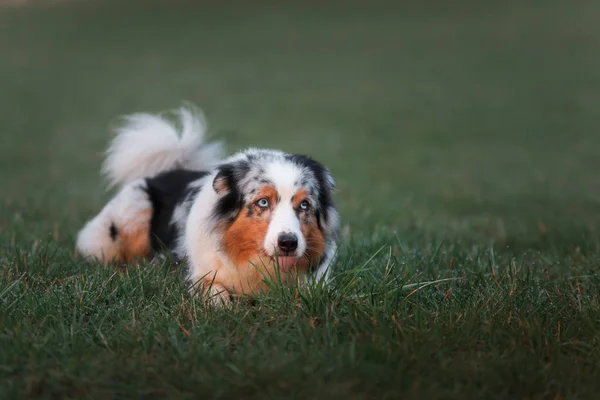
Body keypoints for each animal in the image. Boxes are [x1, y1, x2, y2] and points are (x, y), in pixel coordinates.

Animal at [75, 104, 340, 304]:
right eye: (263, 202)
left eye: (304, 205)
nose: (288, 243)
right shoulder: (201, 275)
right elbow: (215, 291)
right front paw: (225, 306)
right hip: (131, 212)